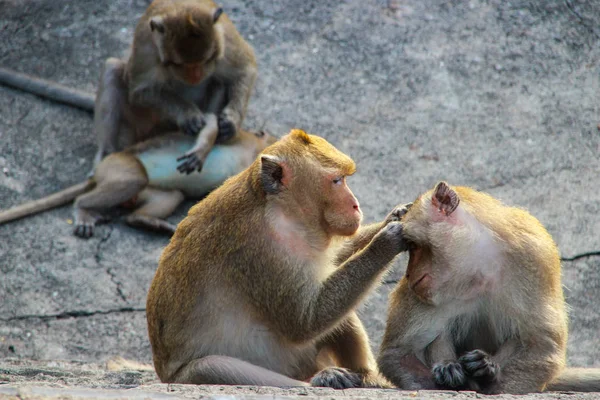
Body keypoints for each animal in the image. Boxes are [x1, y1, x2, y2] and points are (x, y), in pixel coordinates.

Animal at [0, 125, 276, 238]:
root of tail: (98, 171)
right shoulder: (241, 137)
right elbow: (213, 127)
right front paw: (200, 150)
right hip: (119, 166)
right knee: (133, 179)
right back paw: (83, 208)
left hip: (153, 191)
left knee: (169, 196)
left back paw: (145, 221)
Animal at [92, 0, 256, 170]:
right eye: (178, 64)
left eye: (206, 60)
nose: (195, 77)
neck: (184, 7)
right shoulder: (145, 46)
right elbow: (140, 91)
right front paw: (187, 114)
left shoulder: (225, 37)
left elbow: (245, 69)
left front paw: (231, 121)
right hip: (140, 120)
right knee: (112, 69)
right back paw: (106, 153)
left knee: (220, 82)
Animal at [145, 130, 410, 390]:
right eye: (337, 181)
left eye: (344, 179)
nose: (356, 206)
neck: (280, 210)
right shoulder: (261, 248)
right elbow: (304, 321)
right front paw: (385, 242)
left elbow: (331, 267)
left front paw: (394, 216)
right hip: (189, 376)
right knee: (212, 367)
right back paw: (319, 379)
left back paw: (366, 376)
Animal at [378, 183, 600, 396]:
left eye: (413, 245)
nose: (408, 275)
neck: (479, 264)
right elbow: (397, 353)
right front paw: (447, 377)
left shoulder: (535, 257)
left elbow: (541, 345)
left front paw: (489, 377)